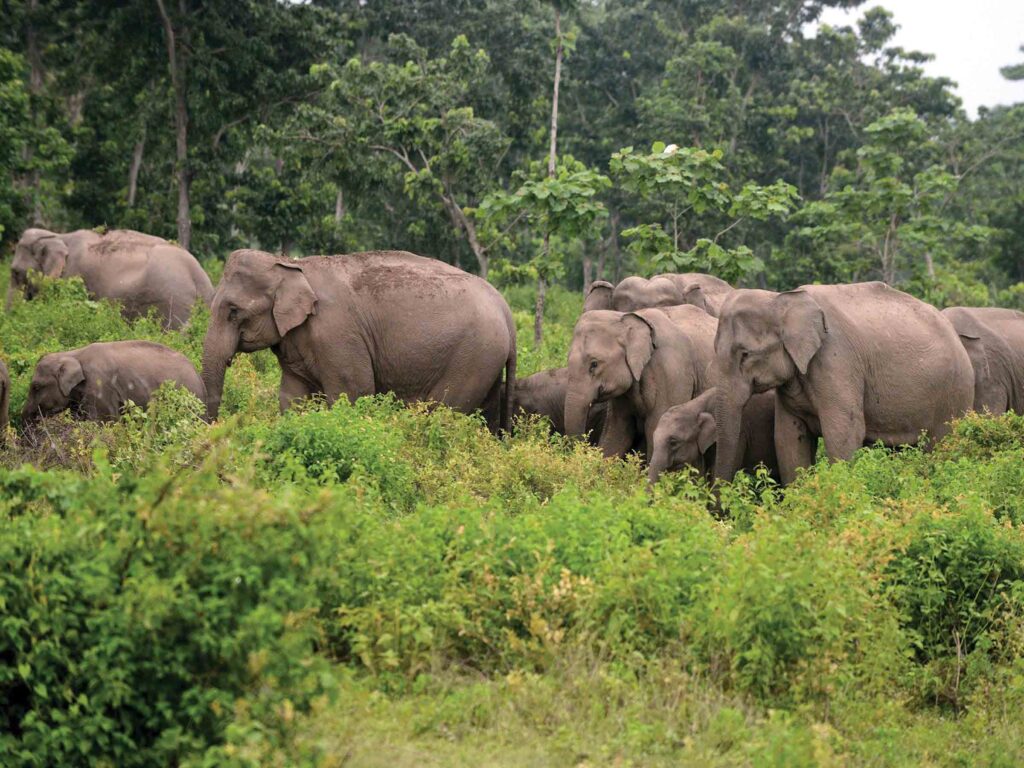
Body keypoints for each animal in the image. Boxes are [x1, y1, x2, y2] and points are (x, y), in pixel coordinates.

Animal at [201, 249, 517, 431]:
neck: (292, 264)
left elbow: (353, 391)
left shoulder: (337, 335)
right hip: (486, 362)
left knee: (443, 412)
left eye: (233, 311)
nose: (214, 428)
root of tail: (505, 309)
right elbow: (292, 396)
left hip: (472, 358)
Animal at [713, 282, 975, 485]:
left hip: (954, 392)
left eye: (745, 354)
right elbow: (788, 436)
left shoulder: (837, 361)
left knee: (942, 444)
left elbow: (844, 432)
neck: (782, 298)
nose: (719, 511)